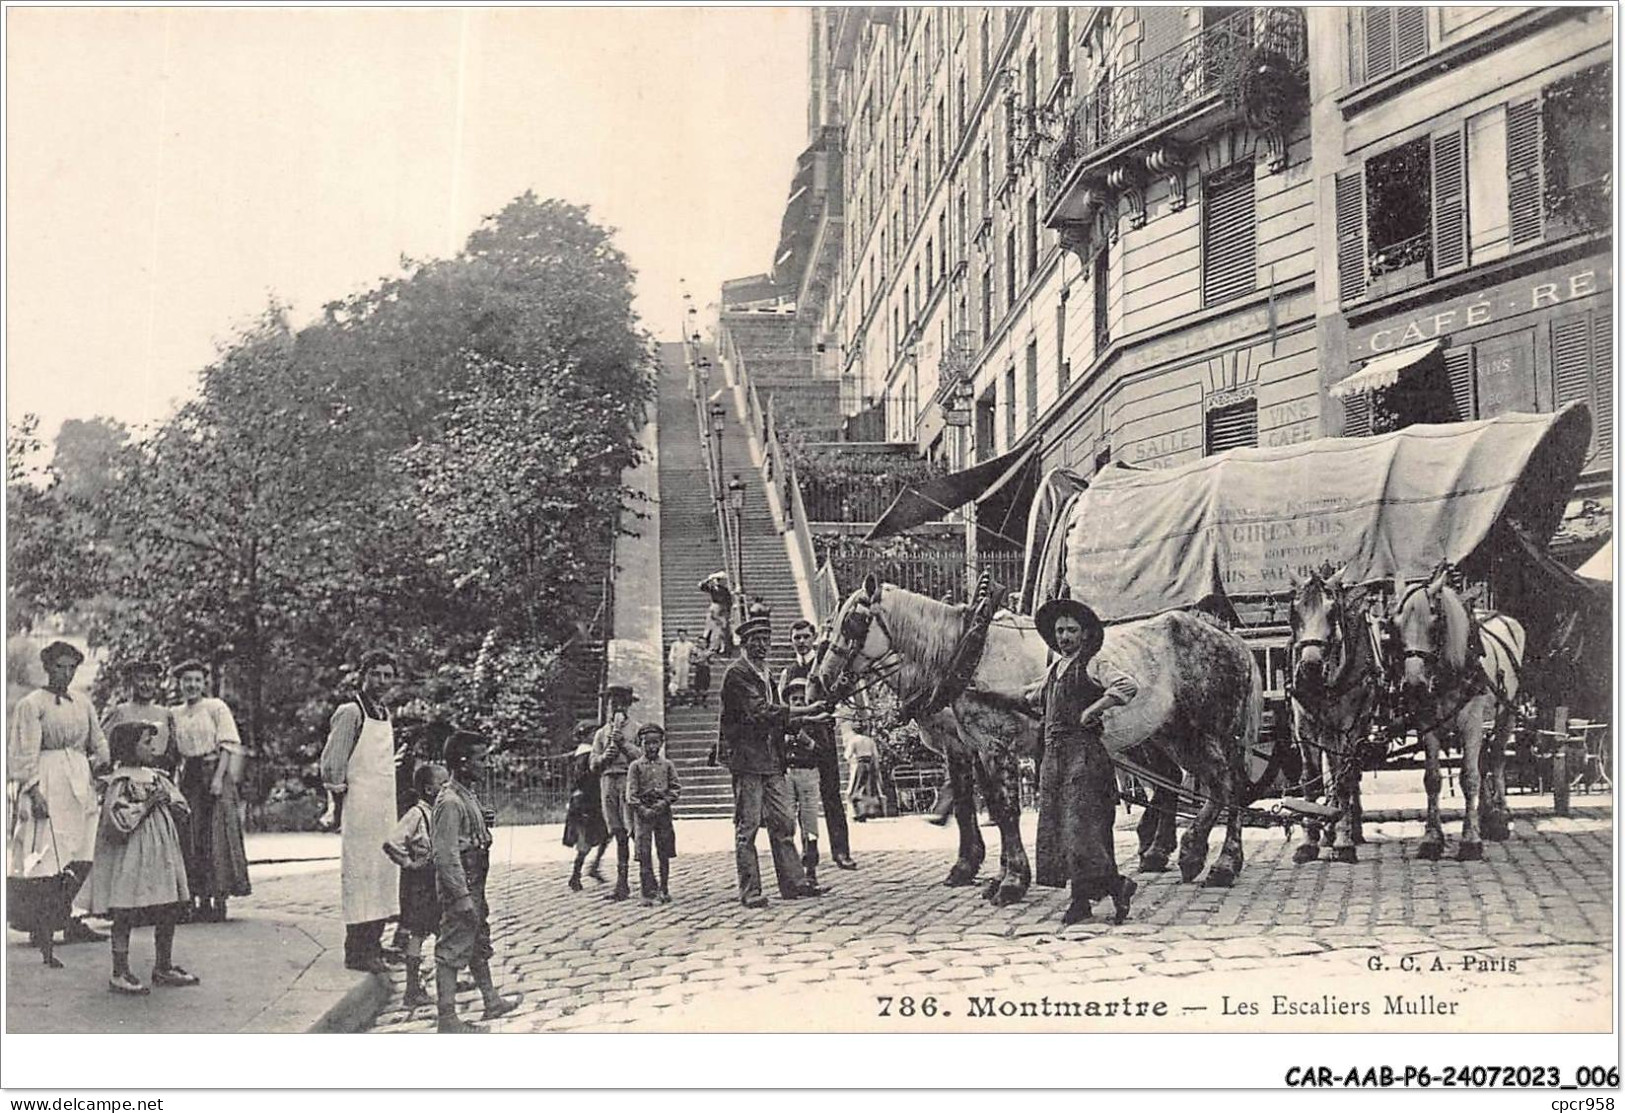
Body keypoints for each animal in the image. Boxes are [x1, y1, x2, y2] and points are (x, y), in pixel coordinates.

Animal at [819, 571, 1261, 903]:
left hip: (1218, 730)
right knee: (1210, 786)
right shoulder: (972, 748)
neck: (968, 651)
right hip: (1176, 733)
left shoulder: (993, 745)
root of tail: (1224, 633)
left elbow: (1003, 810)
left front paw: (1012, 880)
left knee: (1231, 787)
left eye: (853, 622)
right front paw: (991, 873)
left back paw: (1222, 863)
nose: (821, 679)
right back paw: (1187, 852)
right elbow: (983, 806)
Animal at [1287, 568, 1378, 864]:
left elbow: (1344, 781)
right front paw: (1309, 841)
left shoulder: (1348, 726)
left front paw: (1344, 842)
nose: (1310, 667)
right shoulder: (1304, 727)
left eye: (1332, 612)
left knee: (1349, 773)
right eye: (1294, 612)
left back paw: (1350, 828)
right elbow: (1311, 781)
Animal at [1391, 565, 1527, 857]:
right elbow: (1432, 779)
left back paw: (1500, 816)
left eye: (1435, 624)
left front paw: (1470, 840)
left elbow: (1469, 777)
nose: (1414, 685)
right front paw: (1432, 838)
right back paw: (1487, 814)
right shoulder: (1427, 725)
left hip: (1506, 715)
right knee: (1484, 760)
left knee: (1496, 758)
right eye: (1394, 625)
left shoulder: (1472, 723)